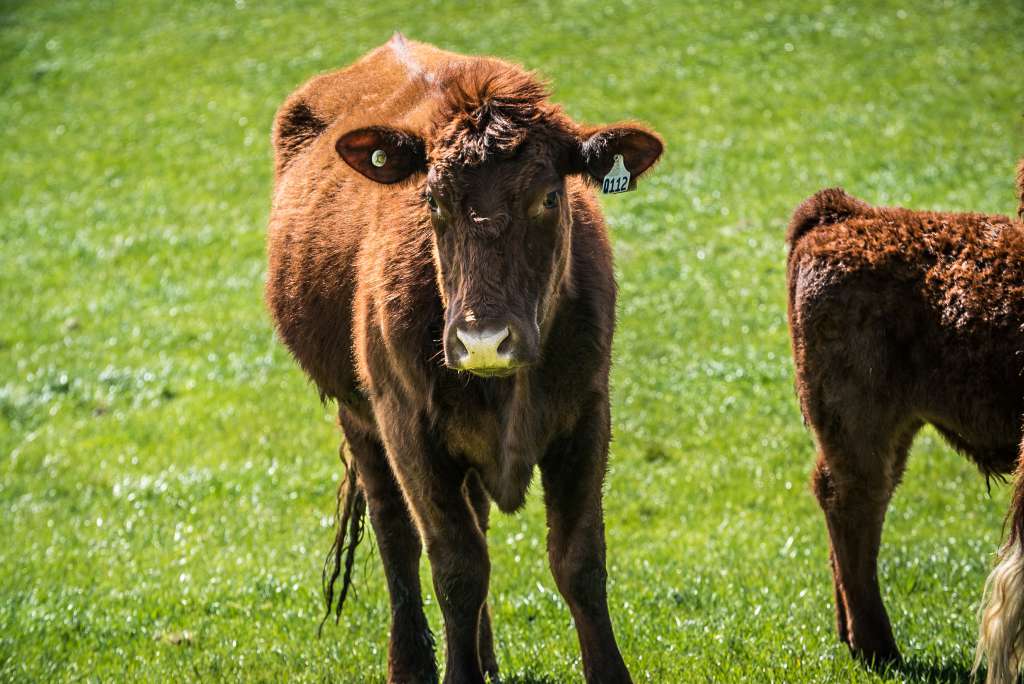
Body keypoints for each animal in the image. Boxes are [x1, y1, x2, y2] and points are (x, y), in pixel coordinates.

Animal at [264, 33, 663, 684]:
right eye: (431, 199)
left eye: (550, 197)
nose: (483, 341)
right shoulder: (409, 428)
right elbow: (456, 568)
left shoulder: (586, 415)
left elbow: (579, 561)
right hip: (360, 417)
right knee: (396, 535)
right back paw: (412, 665)